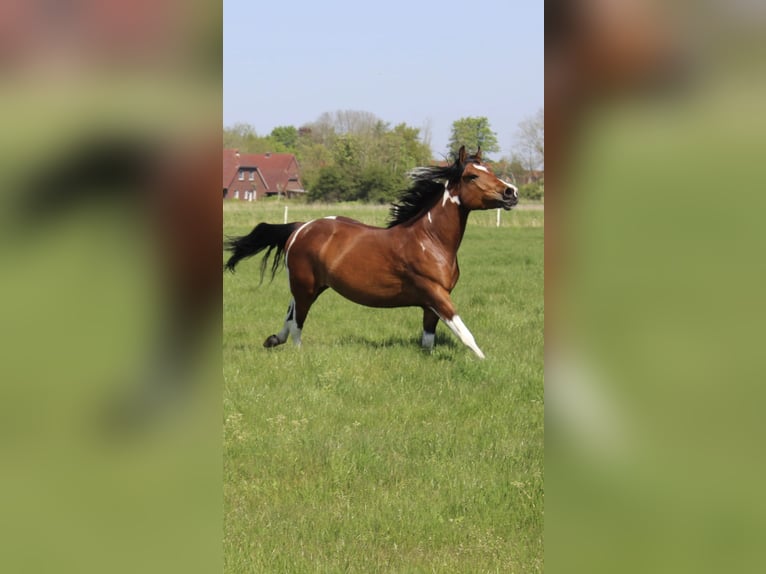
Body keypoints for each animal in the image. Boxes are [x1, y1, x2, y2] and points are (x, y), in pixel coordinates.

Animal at [225, 146, 520, 358]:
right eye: (473, 175)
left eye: (490, 169)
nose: (511, 192)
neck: (430, 239)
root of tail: (300, 227)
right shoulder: (436, 294)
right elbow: (466, 335)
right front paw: (486, 364)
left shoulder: (430, 303)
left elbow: (428, 341)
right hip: (305, 286)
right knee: (298, 324)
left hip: (310, 286)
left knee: (290, 314)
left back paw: (272, 340)